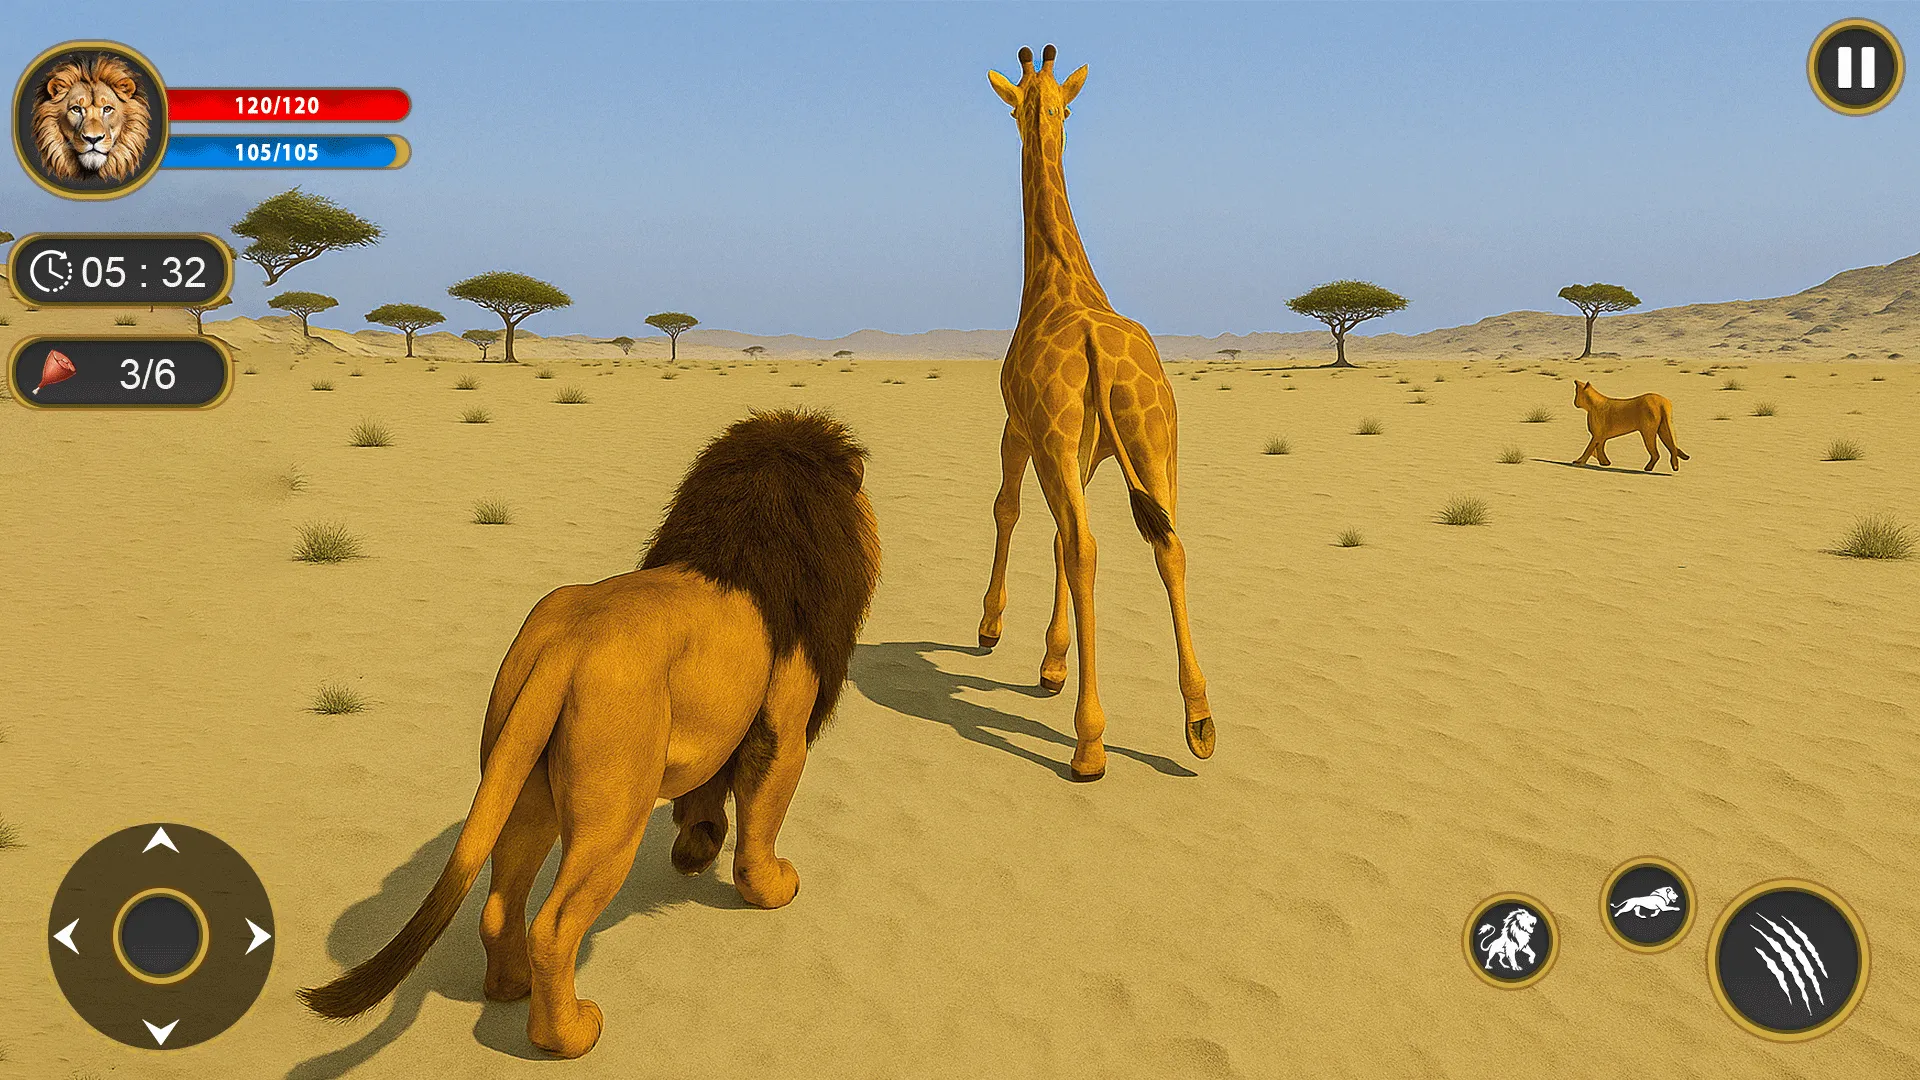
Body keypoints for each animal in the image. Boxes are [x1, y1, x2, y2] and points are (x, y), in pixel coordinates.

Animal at [298, 408, 880, 1058]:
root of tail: (565, 648)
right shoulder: (784, 723)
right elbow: (762, 815)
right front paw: (772, 887)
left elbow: (706, 793)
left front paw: (695, 850)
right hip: (614, 811)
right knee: (553, 925)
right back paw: (572, 1035)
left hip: (522, 775)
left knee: (500, 904)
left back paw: (512, 987)